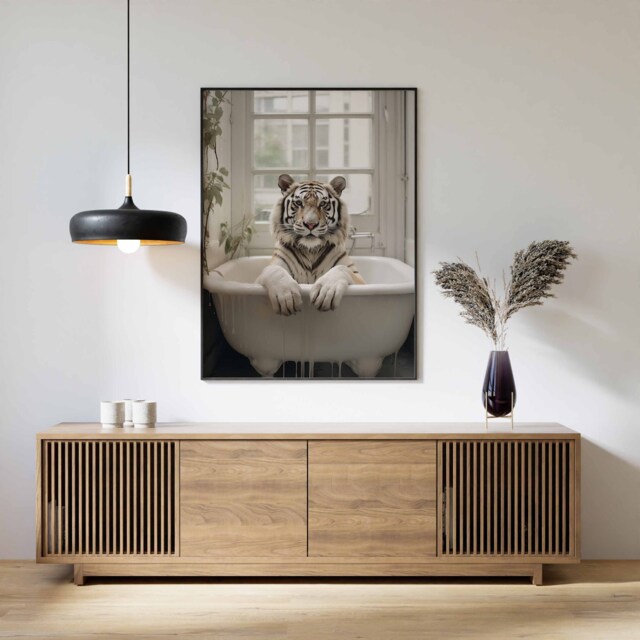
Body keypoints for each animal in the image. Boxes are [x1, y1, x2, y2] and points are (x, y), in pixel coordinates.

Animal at [257, 173, 365, 316]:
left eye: (323, 204)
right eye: (298, 203)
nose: (311, 224)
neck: (310, 250)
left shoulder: (360, 279)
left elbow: (341, 268)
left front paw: (325, 290)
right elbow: (274, 270)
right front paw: (287, 296)